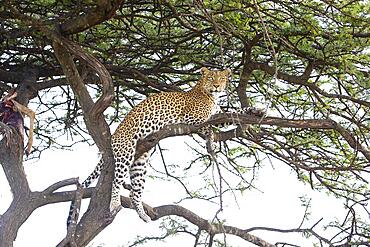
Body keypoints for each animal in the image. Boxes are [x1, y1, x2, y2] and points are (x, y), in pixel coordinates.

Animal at [66, 66, 228, 225]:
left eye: (221, 78)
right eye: (211, 78)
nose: (217, 86)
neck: (210, 95)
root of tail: (114, 136)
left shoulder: (219, 115)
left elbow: (228, 118)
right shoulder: (193, 118)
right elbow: (208, 127)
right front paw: (211, 142)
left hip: (140, 164)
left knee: (135, 193)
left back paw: (143, 214)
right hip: (125, 153)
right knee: (116, 181)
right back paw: (114, 203)